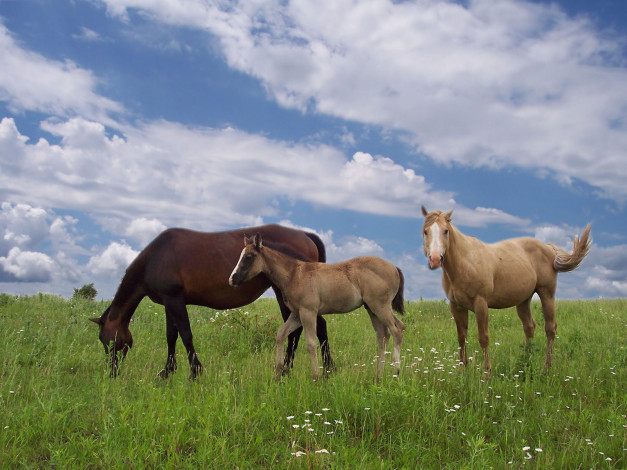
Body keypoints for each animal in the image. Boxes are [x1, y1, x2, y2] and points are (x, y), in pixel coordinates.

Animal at [90, 224, 334, 378]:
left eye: (107, 341)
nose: (111, 372)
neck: (155, 257)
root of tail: (305, 235)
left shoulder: (175, 299)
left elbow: (186, 335)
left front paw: (194, 372)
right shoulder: (169, 301)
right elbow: (171, 336)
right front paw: (168, 371)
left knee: (308, 328)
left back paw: (307, 368)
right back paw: (299, 368)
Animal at [231, 233, 408, 380]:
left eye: (249, 257)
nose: (232, 279)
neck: (295, 274)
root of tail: (394, 268)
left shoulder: (308, 312)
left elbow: (311, 344)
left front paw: (315, 376)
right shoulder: (297, 314)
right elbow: (281, 335)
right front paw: (278, 373)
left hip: (380, 306)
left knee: (397, 329)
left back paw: (396, 372)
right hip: (371, 309)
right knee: (383, 335)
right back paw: (378, 375)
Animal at [420, 207, 592, 376]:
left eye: (446, 231)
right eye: (425, 231)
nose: (435, 259)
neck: (465, 262)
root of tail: (548, 248)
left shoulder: (480, 304)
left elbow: (483, 338)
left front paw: (487, 373)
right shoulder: (456, 306)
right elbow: (462, 337)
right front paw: (461, 371)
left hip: (547, 293)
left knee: (550, 328)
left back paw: (546, 368)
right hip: (523, 300)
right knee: (529, 327)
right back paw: (526, 362)